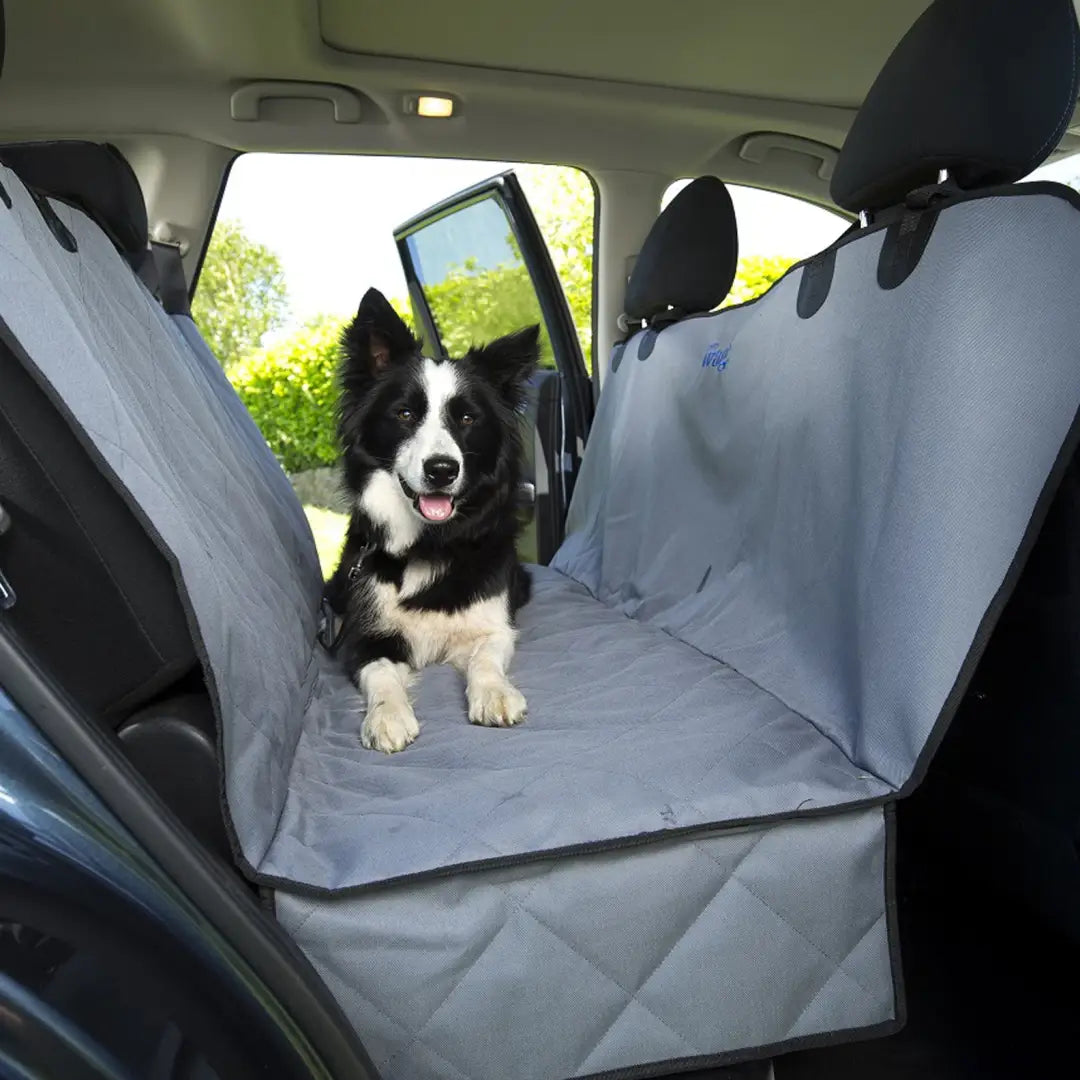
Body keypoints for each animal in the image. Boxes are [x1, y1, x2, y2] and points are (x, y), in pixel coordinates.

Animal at [321, 291, 537, 756]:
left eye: (468, 419)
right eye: (404, 413)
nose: (442, 470)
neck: (432, 542)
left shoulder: (494, 625)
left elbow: (485, 659)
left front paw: (495, 694)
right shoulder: (363, 637)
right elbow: (381, 673)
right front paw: (386, 716)